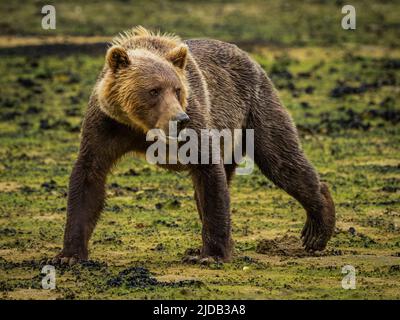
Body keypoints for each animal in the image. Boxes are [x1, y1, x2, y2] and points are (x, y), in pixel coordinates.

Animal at [52, 25, 334, 264]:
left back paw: (316, 230)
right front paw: (69, 255)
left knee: (280, 158)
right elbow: (89, 176)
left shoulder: (197, 120)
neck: (141, 126)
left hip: (255, 108)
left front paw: (212, 255)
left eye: (177, 89)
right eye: (154, 90)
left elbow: (208, 172)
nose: (179, 119)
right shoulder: (107, 124)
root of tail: (249, 57)